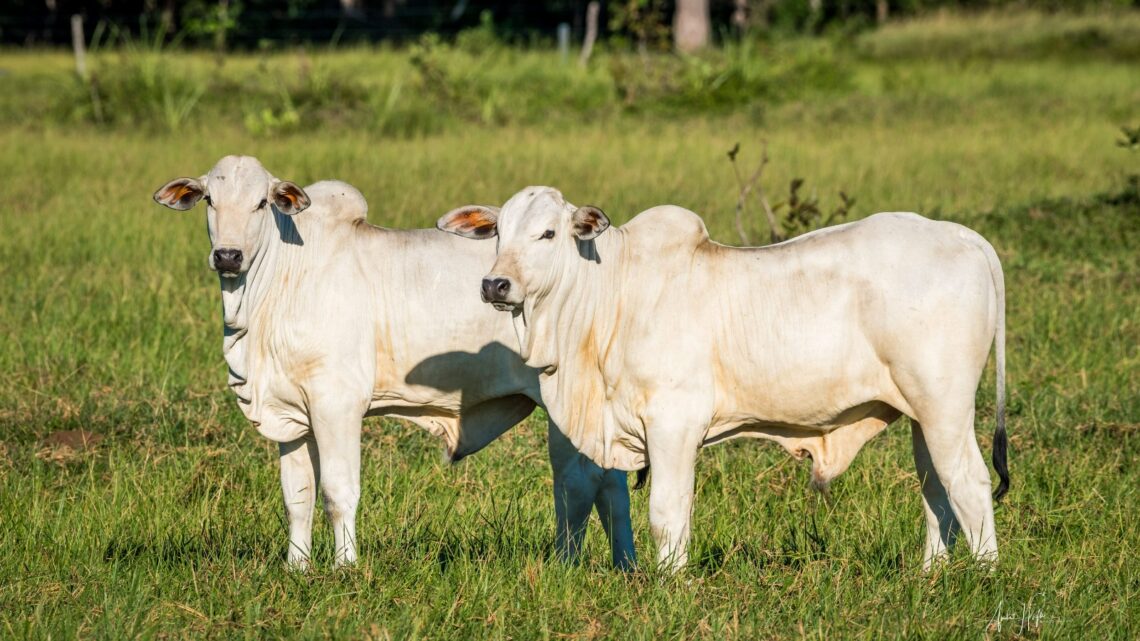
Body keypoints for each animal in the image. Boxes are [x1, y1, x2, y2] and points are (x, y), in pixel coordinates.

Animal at [152, 157, 638, 565]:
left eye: (260, 203)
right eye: (210, 201)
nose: (228, 256)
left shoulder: (336, 404)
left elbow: (338, 491)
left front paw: (344, 567)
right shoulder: (290, 412)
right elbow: (297, 496)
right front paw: (296, 568)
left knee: (582, 483)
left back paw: (577, 563)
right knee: (606, 482)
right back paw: (618, 564)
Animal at [440, 185, 1012, 568]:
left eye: (548, 233)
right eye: (498, 234)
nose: (495, 284)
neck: (609, 297)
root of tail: (961, 236)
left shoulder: (674, 424)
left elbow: (667, 512)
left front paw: (668, 584)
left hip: (945, 406)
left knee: (969, 482)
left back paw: (984, 575)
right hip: (922, 416)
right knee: (936, 490)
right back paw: (930, 575)